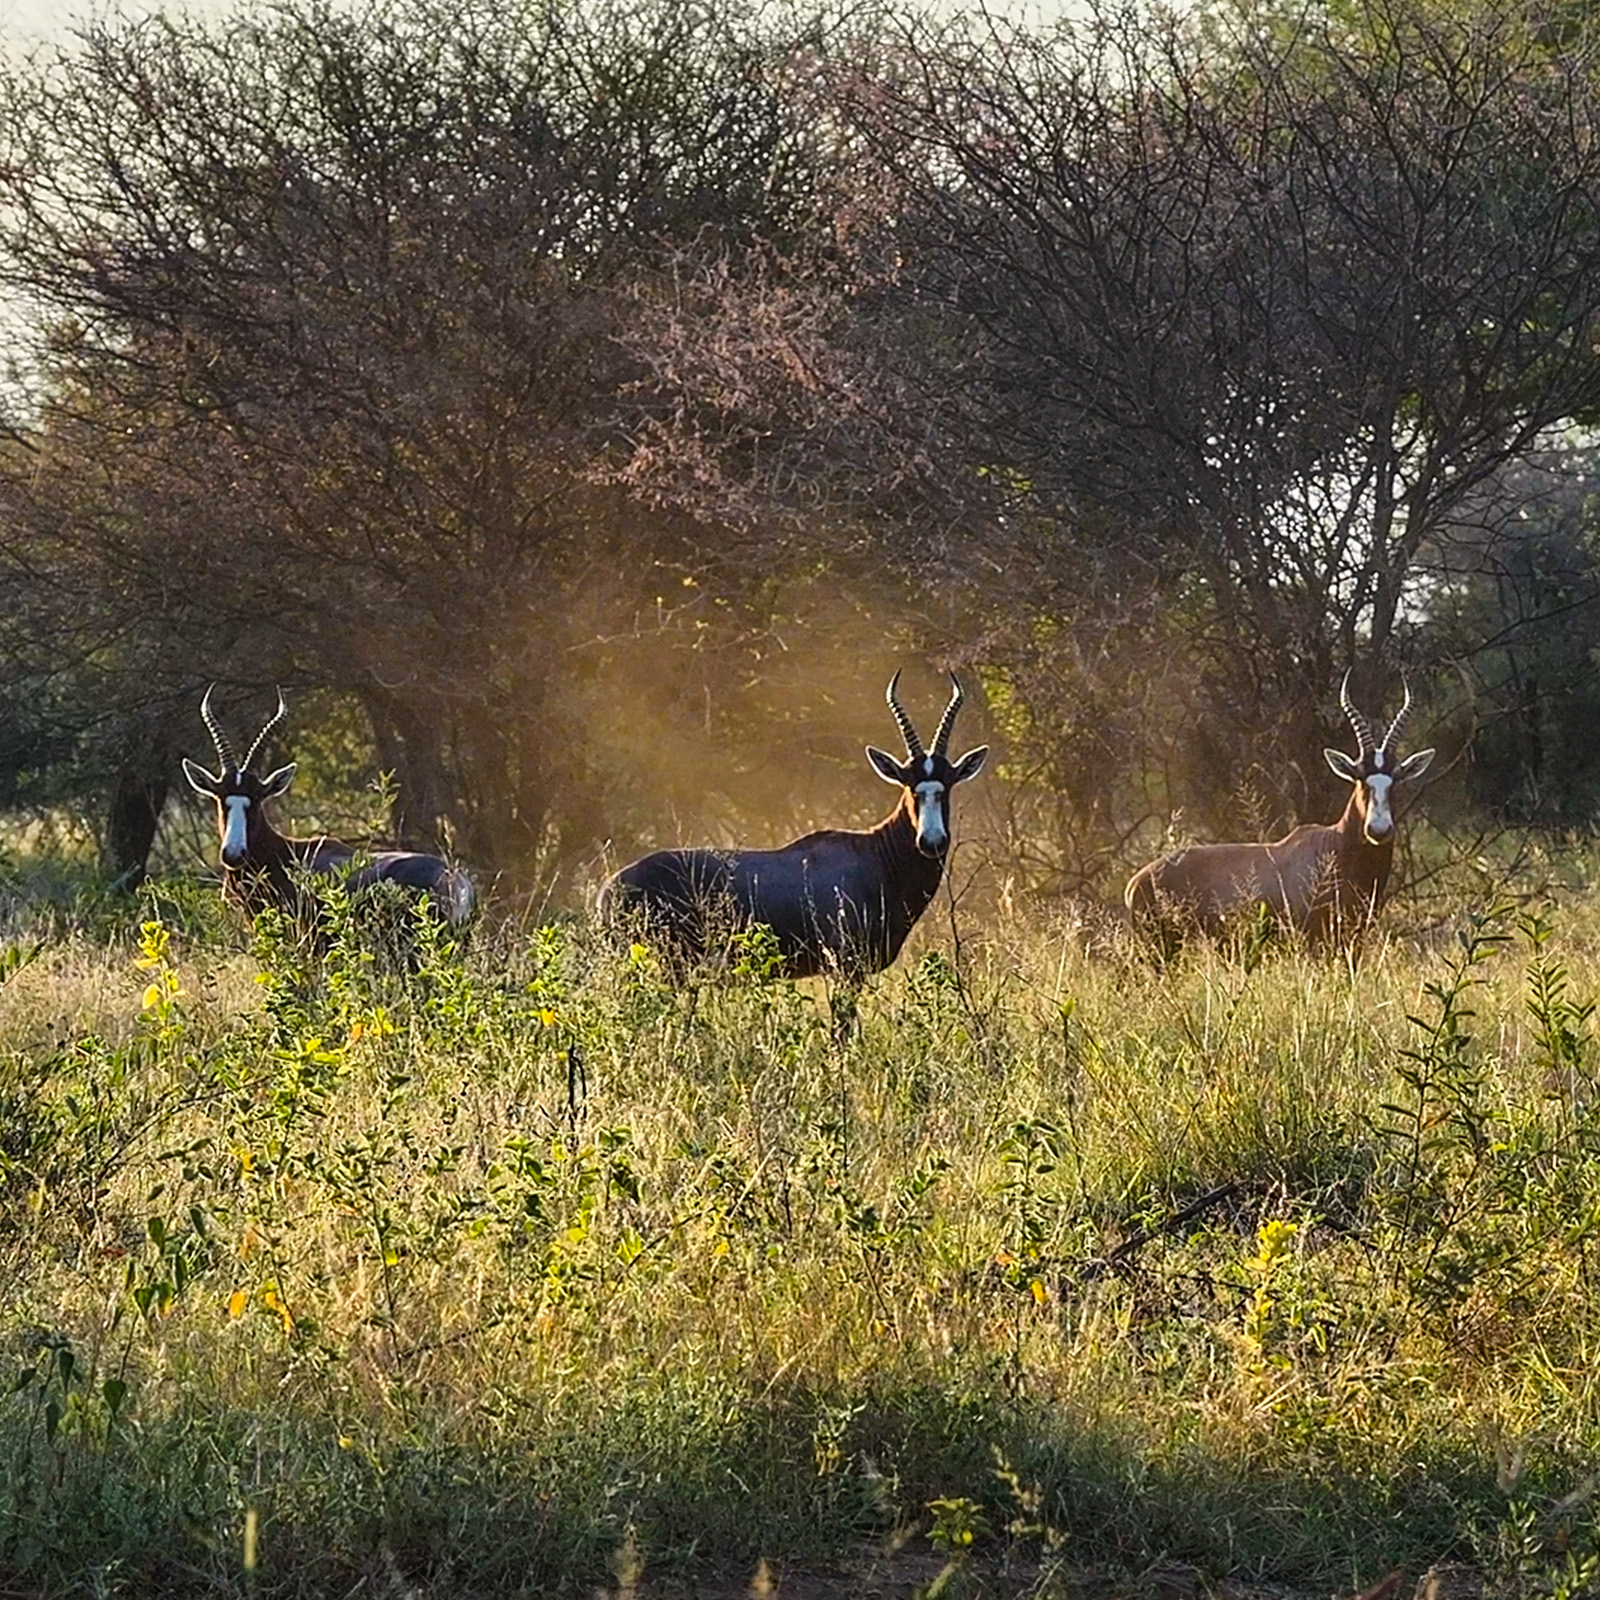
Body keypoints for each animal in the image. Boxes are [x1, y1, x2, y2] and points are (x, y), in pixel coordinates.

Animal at [600, 671, 988, 980]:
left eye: (947, 784)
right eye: (909, 785)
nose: (931, 841)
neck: (873, 855)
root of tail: (610, 889)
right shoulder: (843, 968)